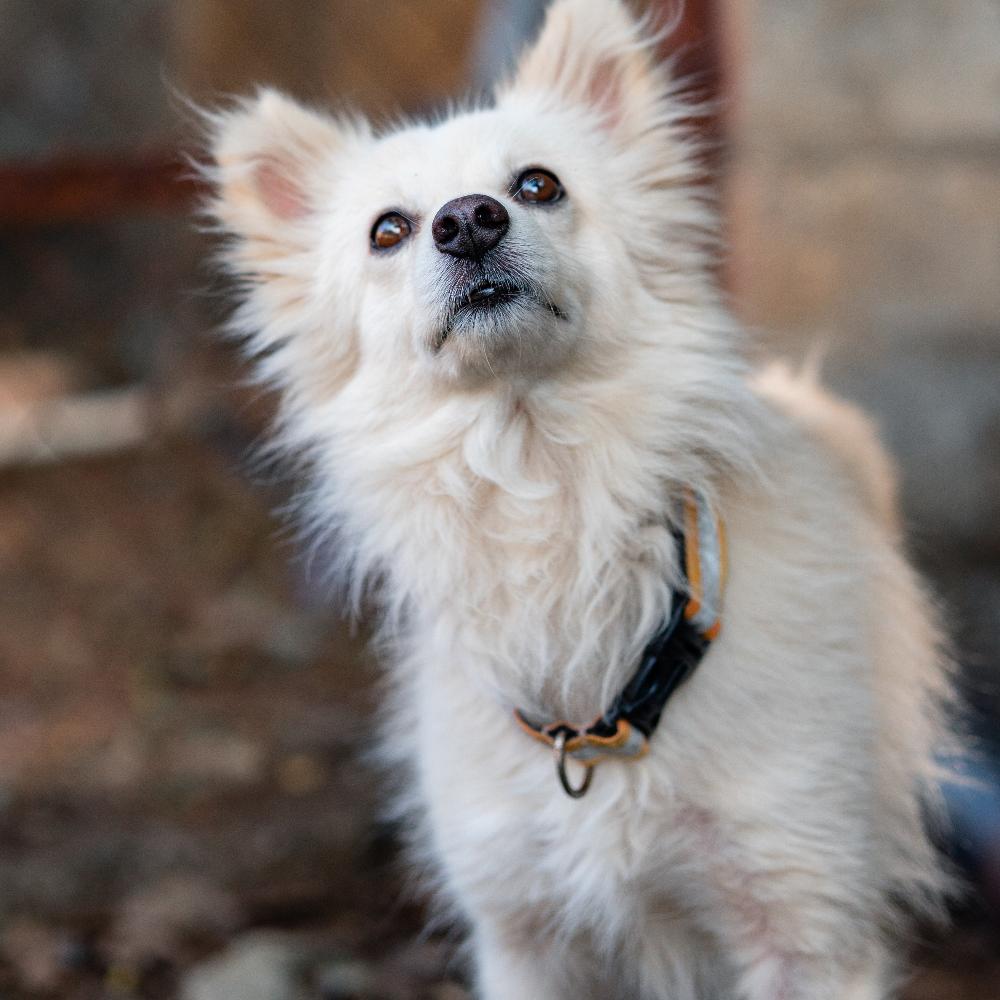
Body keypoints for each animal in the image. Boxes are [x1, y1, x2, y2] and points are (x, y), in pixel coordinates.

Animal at [207, 1, 956, 1000]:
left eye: (538, 185)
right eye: (387, 231)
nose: (468, 221)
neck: (541, 478)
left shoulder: (807, 929)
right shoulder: (524, 938)